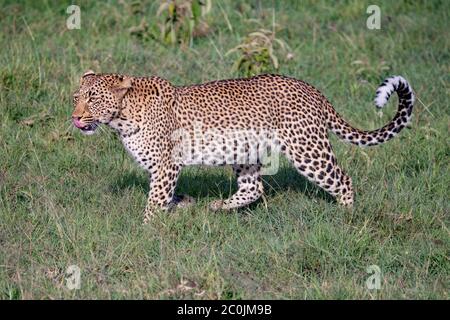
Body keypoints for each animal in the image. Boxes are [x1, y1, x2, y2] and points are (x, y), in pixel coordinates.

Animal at [71, 71, 414, 224]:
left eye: (94, 97)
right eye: (77, 97)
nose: (75, 116)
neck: (121, 118)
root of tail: (311, 89)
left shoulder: (167, 166)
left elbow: (154, 202)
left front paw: (147, 230)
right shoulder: (161, 170)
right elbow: (165, 197)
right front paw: (182, 206)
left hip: (307, 148)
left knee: (343, 179)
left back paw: (346, 217)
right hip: (244, 151)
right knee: (253, 188)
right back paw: (218, 206)